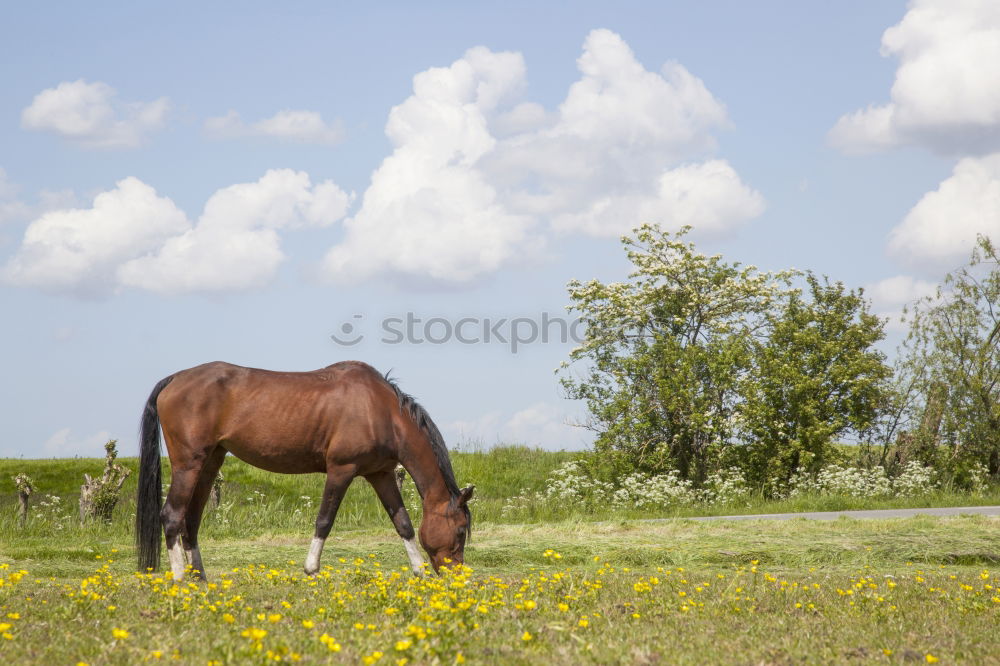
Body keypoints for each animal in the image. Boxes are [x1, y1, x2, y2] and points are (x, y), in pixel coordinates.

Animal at [136, 360, 472, 580]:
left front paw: (418, 570)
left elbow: (403, 522)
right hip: (188, 465)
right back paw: (180, 578)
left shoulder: (381, 474)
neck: (380, 410)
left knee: (191, 520)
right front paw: (311, 568)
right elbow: (324, 520)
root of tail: (175, 379)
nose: (457, 576)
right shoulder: (341, 470)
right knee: (172, 516)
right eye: (460, 530)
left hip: (210, 464)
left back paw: (200, 578)